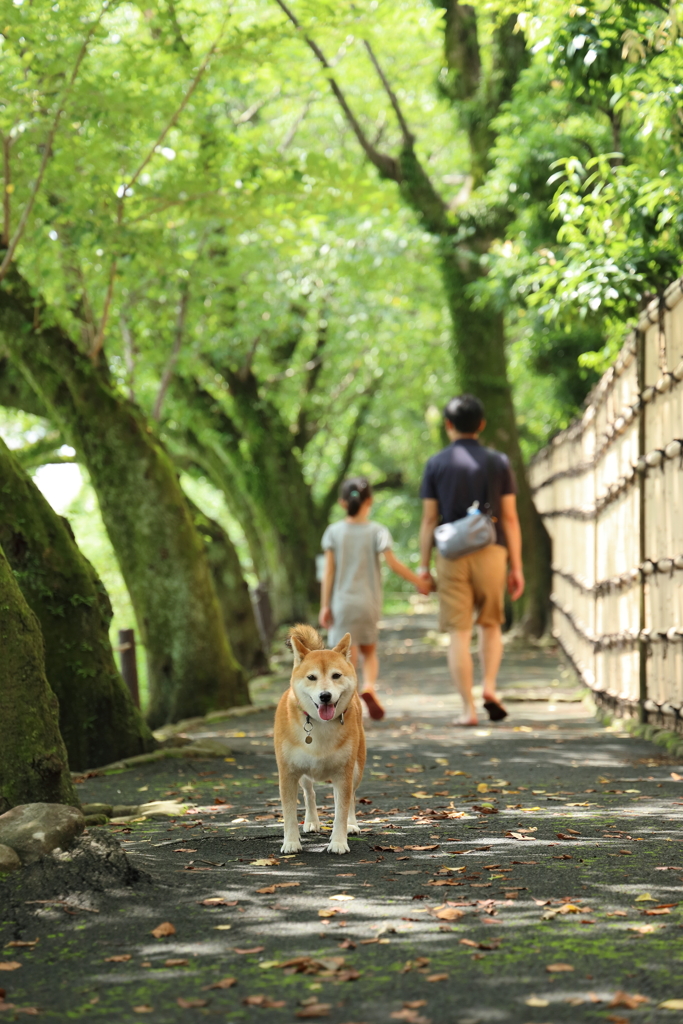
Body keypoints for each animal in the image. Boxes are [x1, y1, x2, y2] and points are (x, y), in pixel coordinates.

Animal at [274, 622, 366, 856]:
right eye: (311, 677)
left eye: (336, 675)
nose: (325, 696)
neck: (319, 724)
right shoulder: (288, 772)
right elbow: (289, 812)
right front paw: (291, 841)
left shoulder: (344, 772)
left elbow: (341, 810)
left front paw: (339, 842)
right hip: (304, 773)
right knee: (309, 793)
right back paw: (312, 821)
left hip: (356, 769)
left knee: (350, 798)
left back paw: (351, 824)